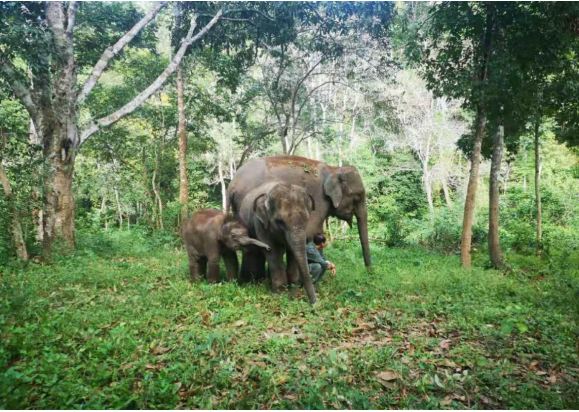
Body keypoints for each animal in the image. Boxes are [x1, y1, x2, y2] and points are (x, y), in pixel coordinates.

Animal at [228, 156, 372, 268]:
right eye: (358, 196)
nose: (369, 271)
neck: (333, 169)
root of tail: (232, 185)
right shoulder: (318, 199)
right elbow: (313, 231)